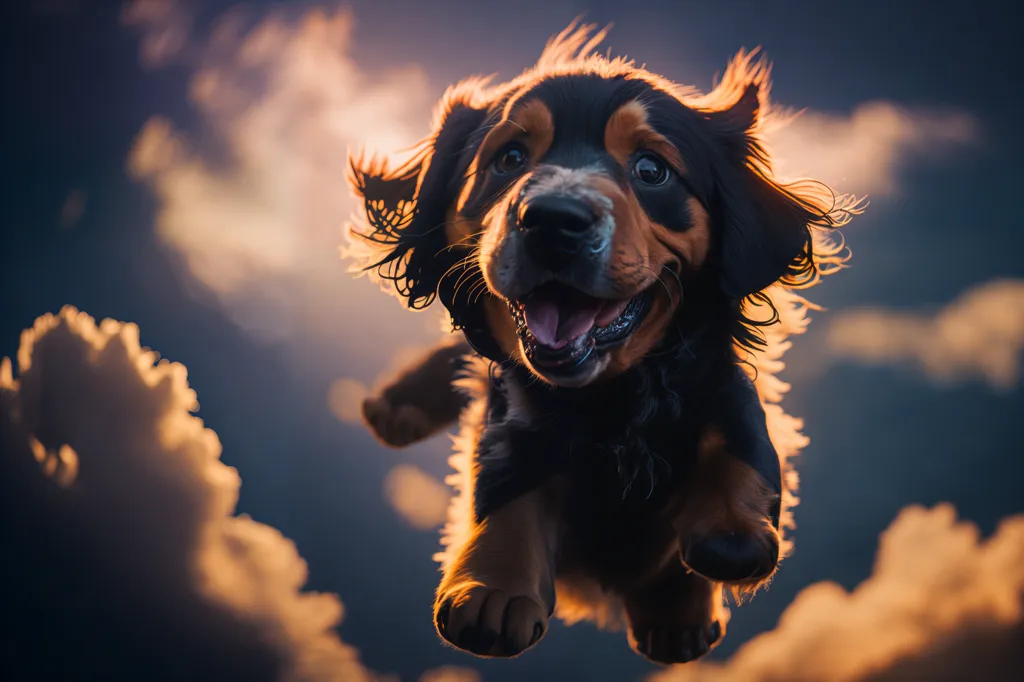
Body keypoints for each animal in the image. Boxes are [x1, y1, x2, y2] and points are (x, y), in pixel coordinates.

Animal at [348, 22, 860, 663]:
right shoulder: (516, 412)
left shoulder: (718, 378)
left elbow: (743, 442)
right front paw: (492, 586)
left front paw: (726, 539)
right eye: (508, 158)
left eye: (651, 170)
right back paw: (397, 403)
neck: (609, 394)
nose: (553, 220)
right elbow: (504, 484)